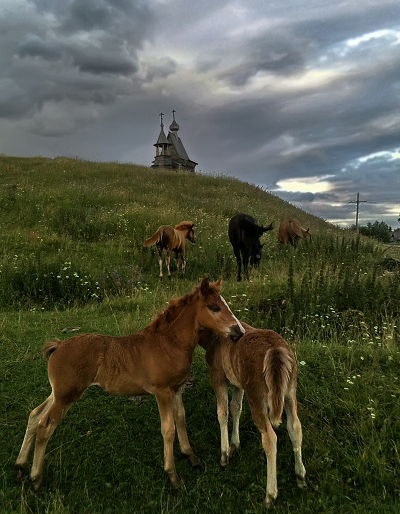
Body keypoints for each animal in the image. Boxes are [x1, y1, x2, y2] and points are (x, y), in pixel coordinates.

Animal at [15, 278, 245, 492]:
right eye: (214, 307)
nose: (239, 332)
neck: (168, 343)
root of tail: (59, 345)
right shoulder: (162, 392)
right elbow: (168, 429)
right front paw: (173, 476)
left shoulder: (177, 389)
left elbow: (180, 419)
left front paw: (191, 456)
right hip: (67, 395)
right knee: (45, 425)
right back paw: (36, 478)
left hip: (58, 392)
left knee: (34, 415)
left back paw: (20, 466)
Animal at [198, 324, 306, 508]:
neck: (213, 337)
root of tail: (275, 350)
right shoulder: (238, 382)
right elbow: (236, 407)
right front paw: (234, 445)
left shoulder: (218, 374)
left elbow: (223, 412)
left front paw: (224, 455)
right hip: (290, 392)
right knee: (295, 427)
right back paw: (300, 477)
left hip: (257, 396)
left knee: (270, 437)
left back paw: (270, 495)